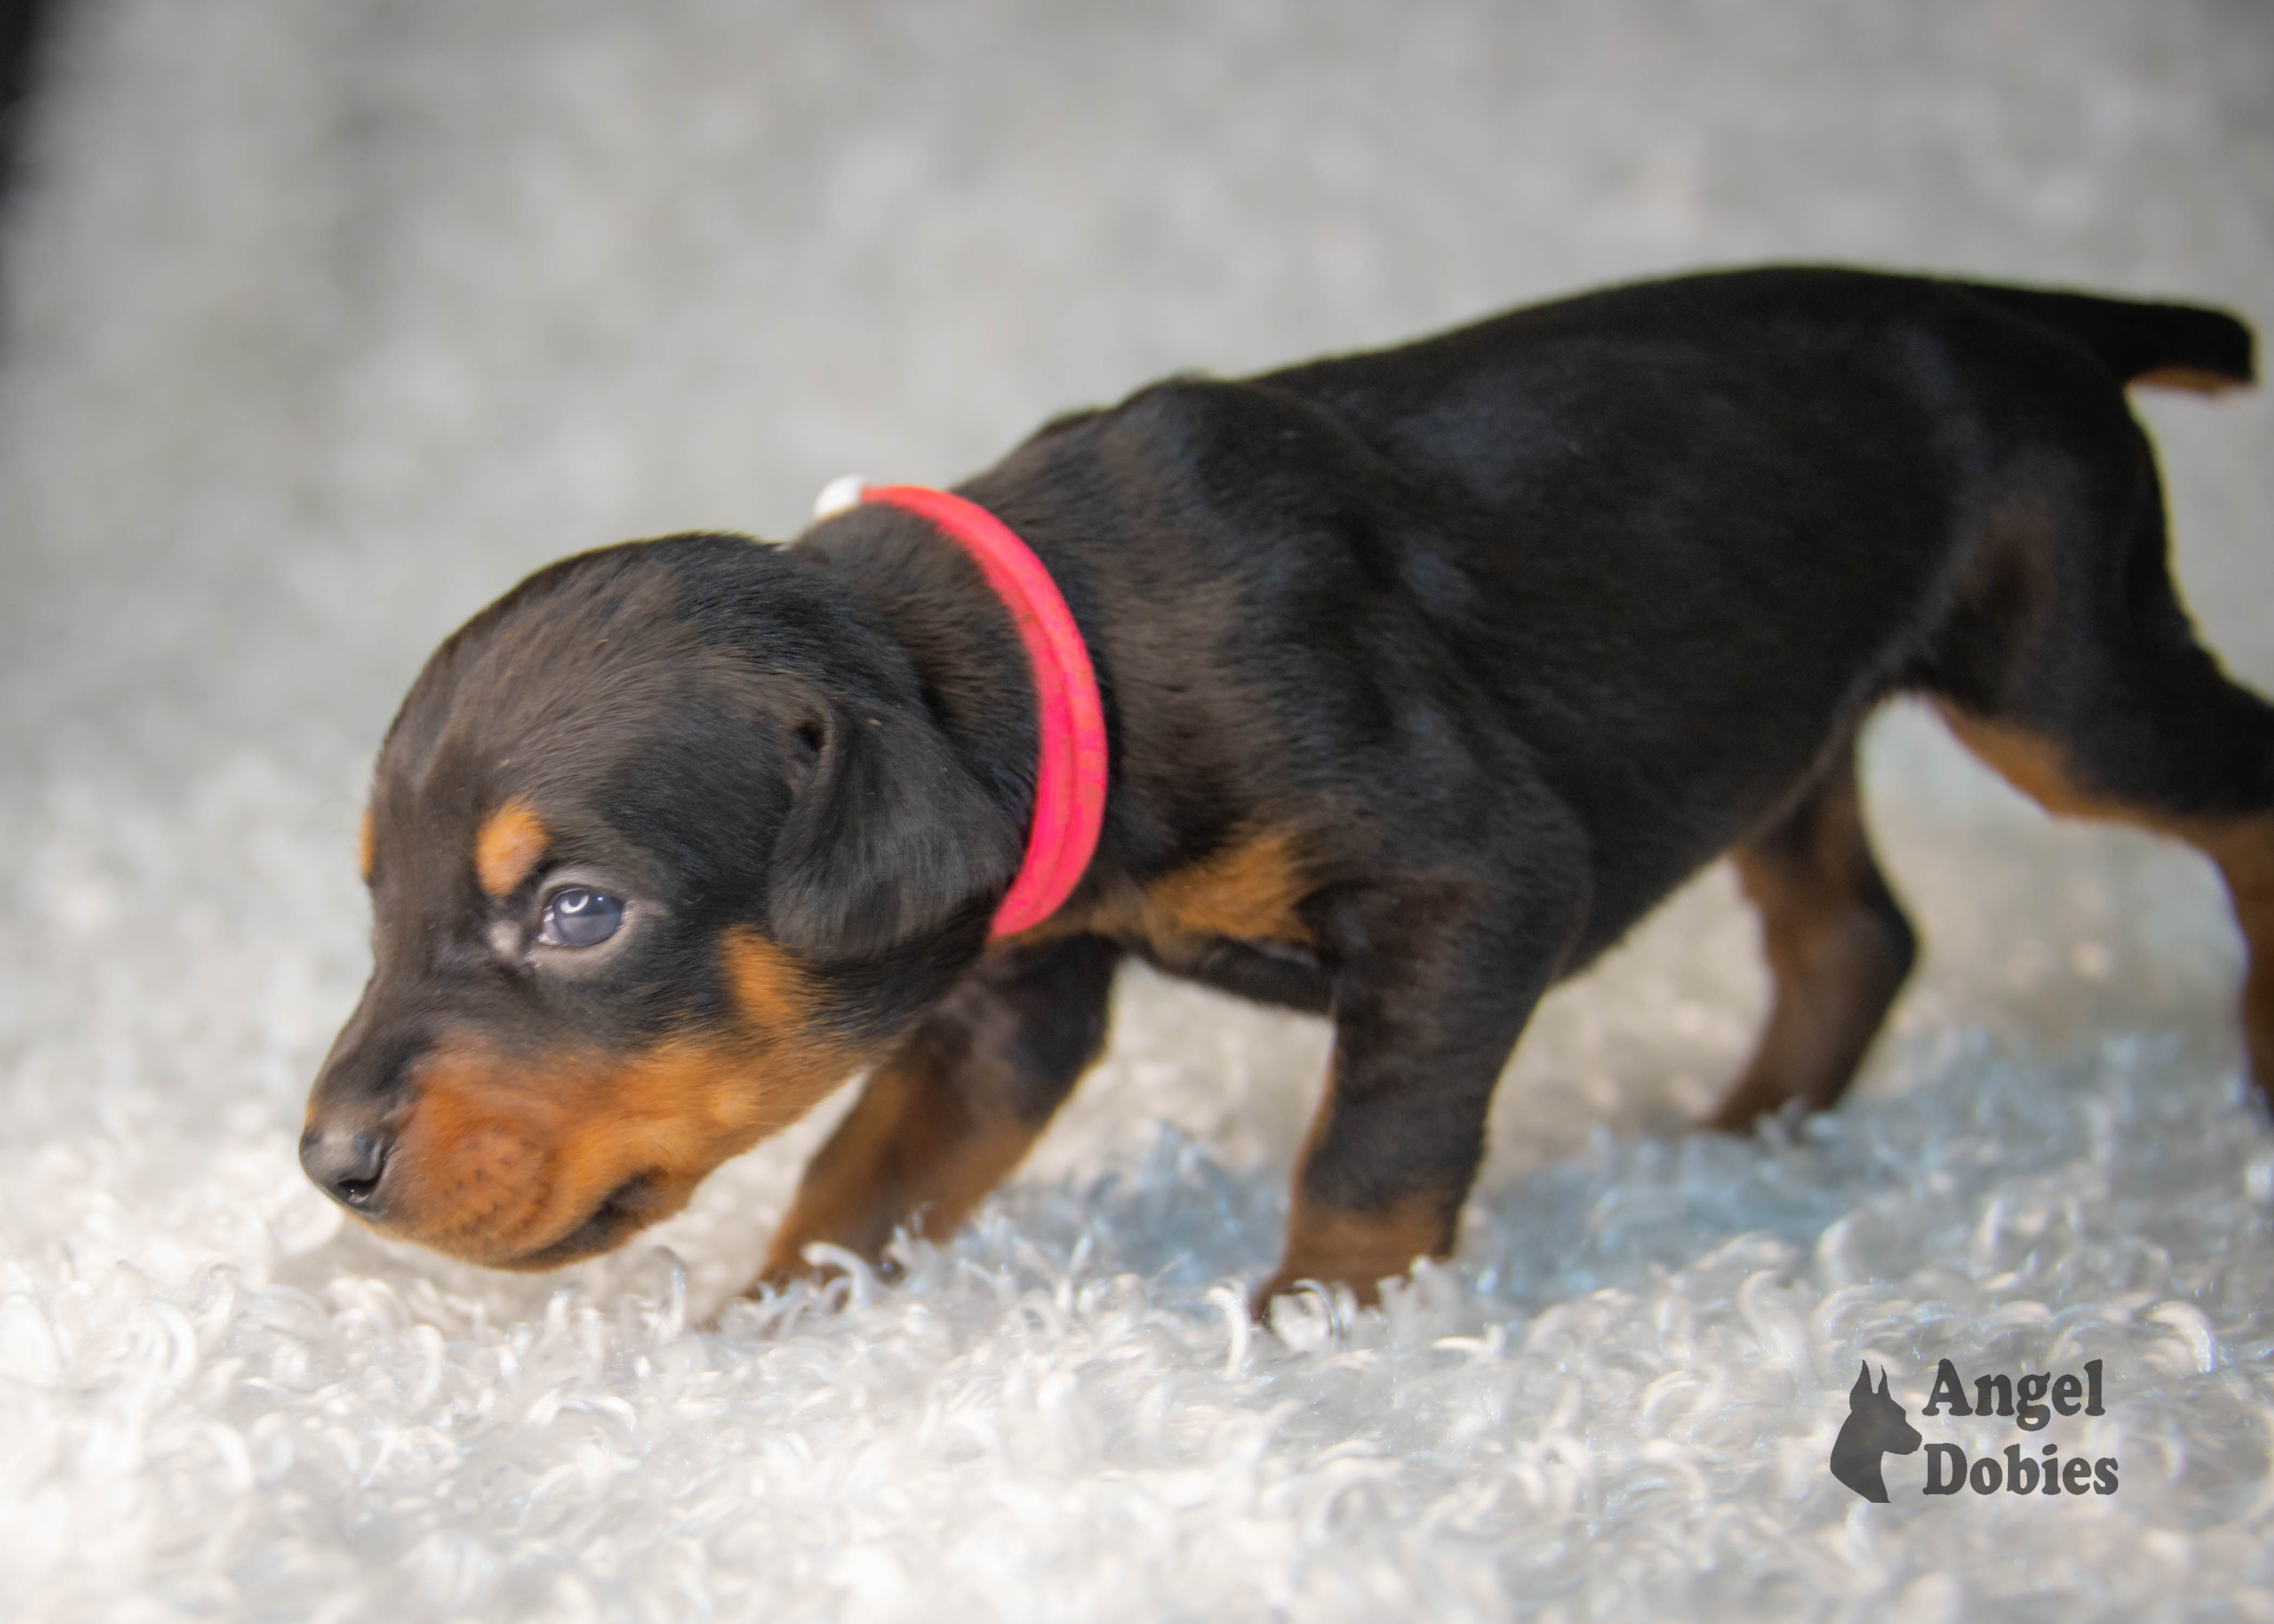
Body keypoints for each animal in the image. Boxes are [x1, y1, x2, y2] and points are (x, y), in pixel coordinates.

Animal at [298, 266, 2256, 1300]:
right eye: (376, 896)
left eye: (577, 912)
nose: (326, 1164)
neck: (1056, 644)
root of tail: (2015, 312)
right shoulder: (1007, 992)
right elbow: (860, 1185)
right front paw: (762, 1343)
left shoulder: (1477, 883)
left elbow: (1371, 1151)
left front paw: (1324, 1339)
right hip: (1790, 704)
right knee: (1851, 931)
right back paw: (1737, 1144)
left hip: (2060, 671)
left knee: (2232, 786)